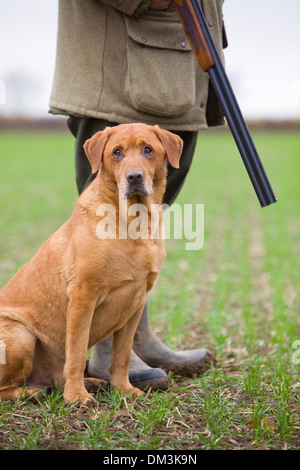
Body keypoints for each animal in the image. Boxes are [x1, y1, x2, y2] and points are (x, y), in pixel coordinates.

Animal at [0, 123, 183, 406]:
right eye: (117, 152)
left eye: (148, 149)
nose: (134, 177)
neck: (134, 220)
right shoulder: (83, 296)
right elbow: (76, 353)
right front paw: (76, 396)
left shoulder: (136, 302)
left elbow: (122, 355)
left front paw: (123, 389)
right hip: (19, 334)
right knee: (8, 388)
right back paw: (31, 392)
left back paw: (92, 383)